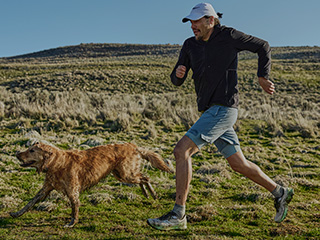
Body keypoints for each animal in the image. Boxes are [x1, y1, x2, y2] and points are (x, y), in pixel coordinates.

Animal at [10, 142, 174, 228]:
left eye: (31, 150)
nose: (17, 154)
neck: (55, 163)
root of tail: (133, 145)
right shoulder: (45, 189)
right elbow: (30, 203)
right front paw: (16, 213)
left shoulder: (72, 190)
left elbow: (74, 207)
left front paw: (72, 223)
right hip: (122, 174)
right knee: (143, 178)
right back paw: (147, 193)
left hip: (126, 174)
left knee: (145, 177)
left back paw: (152, 194)